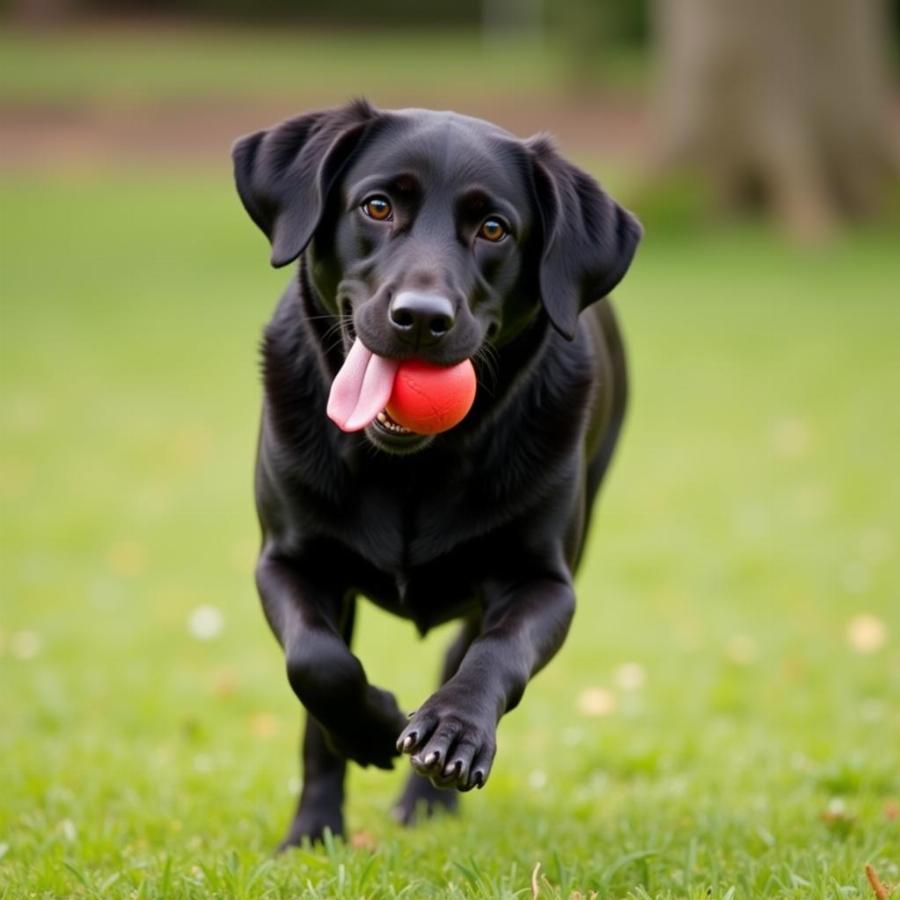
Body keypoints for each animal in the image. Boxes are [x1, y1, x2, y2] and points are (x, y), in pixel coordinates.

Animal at [232, 102, 640, 848]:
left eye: (494, 228)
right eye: (377, 205)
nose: (422, 319)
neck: (413, 465)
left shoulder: (545, 583)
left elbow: (495, 654)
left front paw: (451, 733)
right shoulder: (288, 560)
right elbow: (316, 664)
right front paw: (369, 734)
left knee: (461, 650)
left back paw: (426, 801)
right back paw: (316, 829)